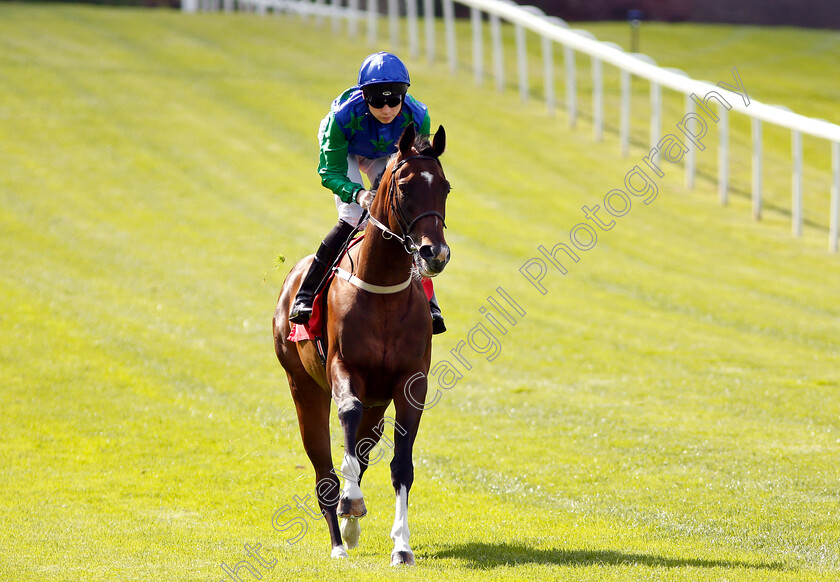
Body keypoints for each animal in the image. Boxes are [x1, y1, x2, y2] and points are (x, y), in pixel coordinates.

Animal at [272, 124, 450, 564]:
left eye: (445, 188)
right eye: (404, 187)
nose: (434, 253)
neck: (383, 290)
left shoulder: (410, 383)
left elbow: (400, 465)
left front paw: (402, 546)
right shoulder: (343, 369)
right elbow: (347, 418)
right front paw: (351, 502)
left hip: (378, 403)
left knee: (363, 450)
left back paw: (349, 530)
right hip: (303, 386)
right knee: (324, 467)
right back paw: (338, 538)